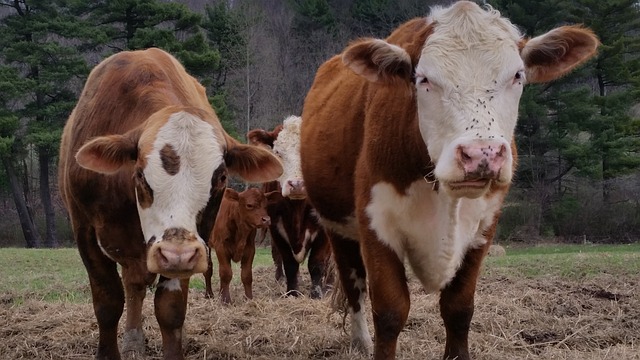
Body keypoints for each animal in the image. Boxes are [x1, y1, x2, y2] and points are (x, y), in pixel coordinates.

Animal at [57, 47, 282, 360]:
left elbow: (171, 311)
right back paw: (133, 339)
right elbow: (108, 303)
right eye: (139, 174)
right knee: (132, 286)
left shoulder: (196, 245)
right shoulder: (86, 234)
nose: (176, 254)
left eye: (222, 176)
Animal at [248, 116, 332, 298]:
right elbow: (290, 264)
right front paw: (292, 292)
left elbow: (317, 263)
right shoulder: (276, 228)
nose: (297, 184)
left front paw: (316, 294)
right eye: (278, 153)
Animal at [300, 1, 600, 358]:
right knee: (353, 285)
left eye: (517, 75)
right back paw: (360, 341)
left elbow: (458, 307)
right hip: (337, 228)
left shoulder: (483, 229)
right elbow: (389, 311)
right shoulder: (376, 225)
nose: (482, 153)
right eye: (424, 79)